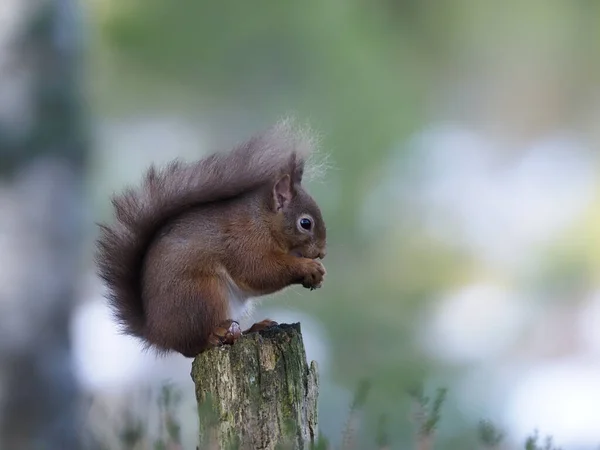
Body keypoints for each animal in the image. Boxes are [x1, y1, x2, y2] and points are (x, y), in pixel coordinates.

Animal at [95, 120, 328, 358]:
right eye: (305, 223)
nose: (322, 253)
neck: (262, 221)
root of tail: (157, 334)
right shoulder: (242, 241)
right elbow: (259, 271)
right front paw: (308, 267)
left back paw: (253, 328)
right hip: (203, 293)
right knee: (194, 346)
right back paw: (218, 335)